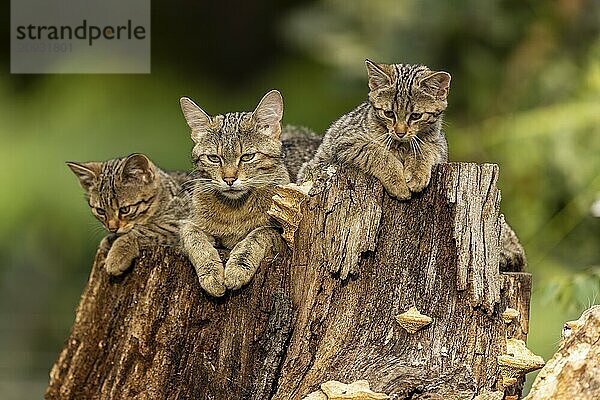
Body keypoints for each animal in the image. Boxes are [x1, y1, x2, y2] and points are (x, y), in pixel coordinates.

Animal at [179, 90, 290, 296]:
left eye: (247, 157)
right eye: (214, 158)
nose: (229, 179)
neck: (234, 210)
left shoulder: (282, 237)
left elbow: (257, 235)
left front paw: (238, 267)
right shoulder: (187, 225)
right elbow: (194, 238)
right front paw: (211, 272)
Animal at [300, 59, 450, 198]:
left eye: (416, 116)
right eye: (389, 113)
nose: (400, 133)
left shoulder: (440, 143)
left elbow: (425, 147)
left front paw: (417, 172)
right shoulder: (346, 141)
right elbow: (378, 153)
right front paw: (398, 183)